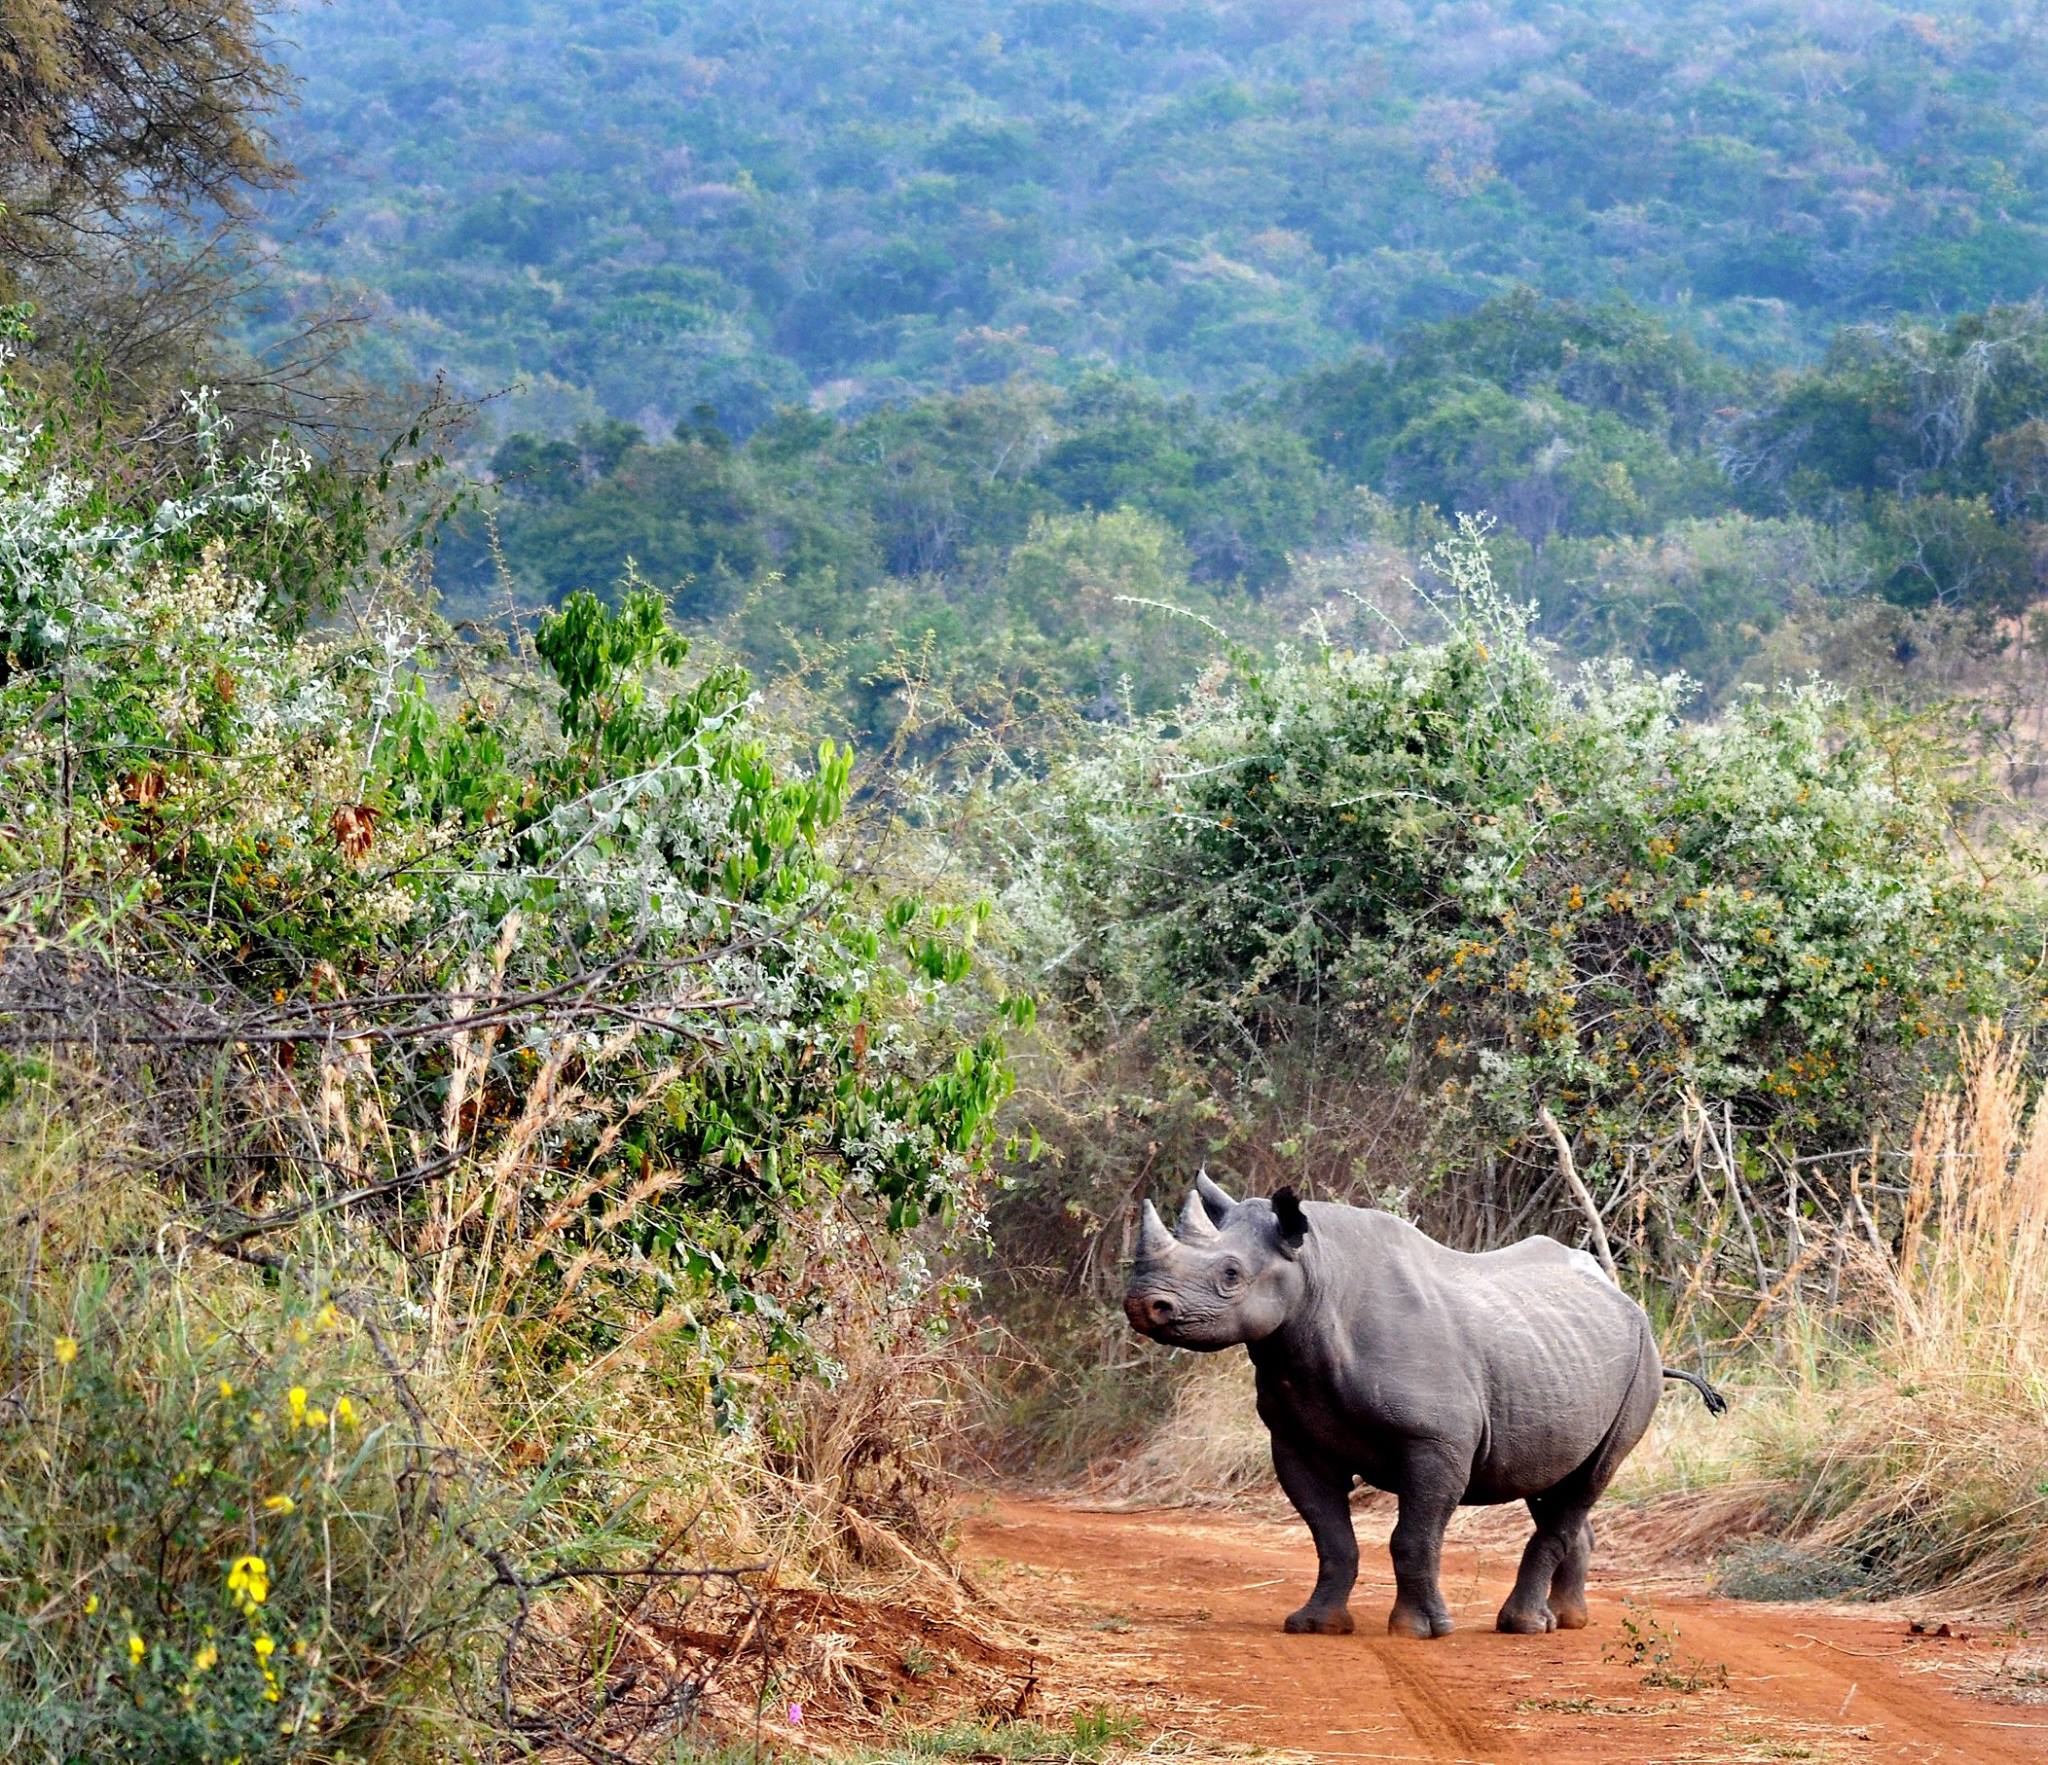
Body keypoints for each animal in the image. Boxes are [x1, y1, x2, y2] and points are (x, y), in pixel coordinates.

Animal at [1122, 1171, 1728, 1646]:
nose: (1142, 1304)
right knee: (1554, 1480)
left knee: (1589, 1479)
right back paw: (1565, 1620)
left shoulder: (1435, 1439)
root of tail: (1622, 1297)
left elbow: (1413, 1537)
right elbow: (1329, 1535)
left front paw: (1419, 1632)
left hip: (1641, 1360)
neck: (1315, 1275)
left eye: (1230, 1276)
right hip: (1560, 1359)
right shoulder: (1293, 1439)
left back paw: (1524, 1627)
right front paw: (1315, 1626)